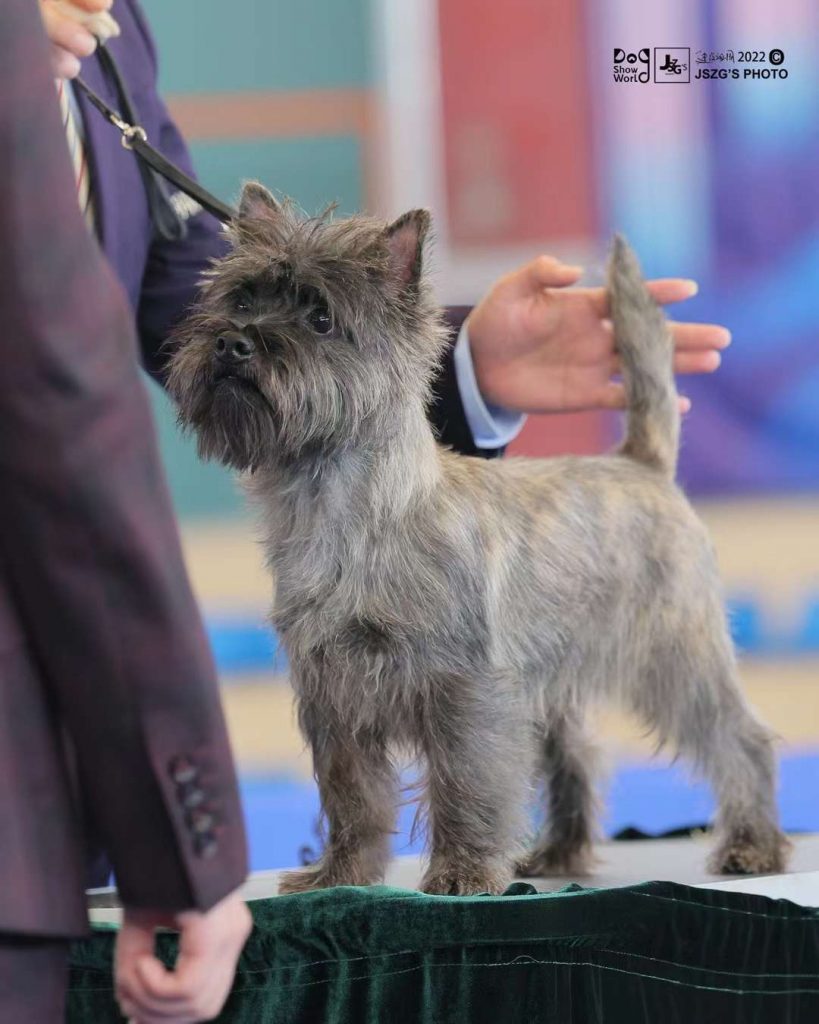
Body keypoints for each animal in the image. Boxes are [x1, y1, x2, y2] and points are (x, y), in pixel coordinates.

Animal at [168, 182, 789, 895]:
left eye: (320, 319)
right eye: (240, 300)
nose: (233, 343)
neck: (347, 512)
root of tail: (641, 462)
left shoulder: (465, 688)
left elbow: (466, 782)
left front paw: (462, 872)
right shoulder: (335, 694)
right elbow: (351, 795)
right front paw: (341, 874)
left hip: (673, 655)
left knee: (737, 737)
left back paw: (752, 847)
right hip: (552, 678)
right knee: (578, 753)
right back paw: (558, 854)